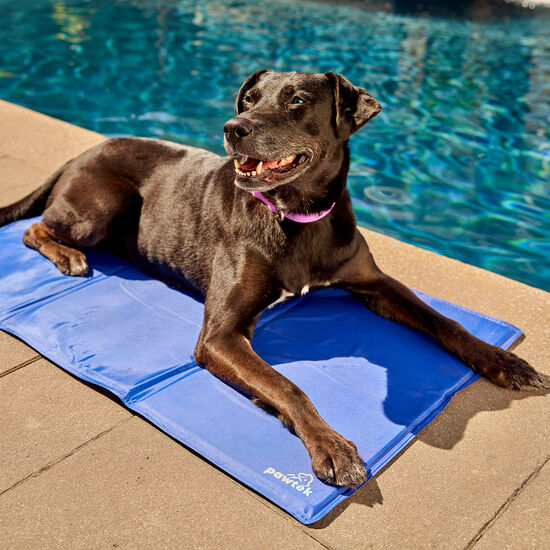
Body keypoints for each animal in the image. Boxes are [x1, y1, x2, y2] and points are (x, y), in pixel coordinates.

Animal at [0, 71, 544, 490]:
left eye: (297, 100)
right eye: (249, 99)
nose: (232, 128)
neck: (298, 217)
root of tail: (82, 152)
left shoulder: (375, 283)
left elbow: (443, 321)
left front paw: (503, 361)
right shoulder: (220, 336)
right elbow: (289, 386)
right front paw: (332, 446)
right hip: (103, 205)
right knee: (33, 227)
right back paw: (68, 257)